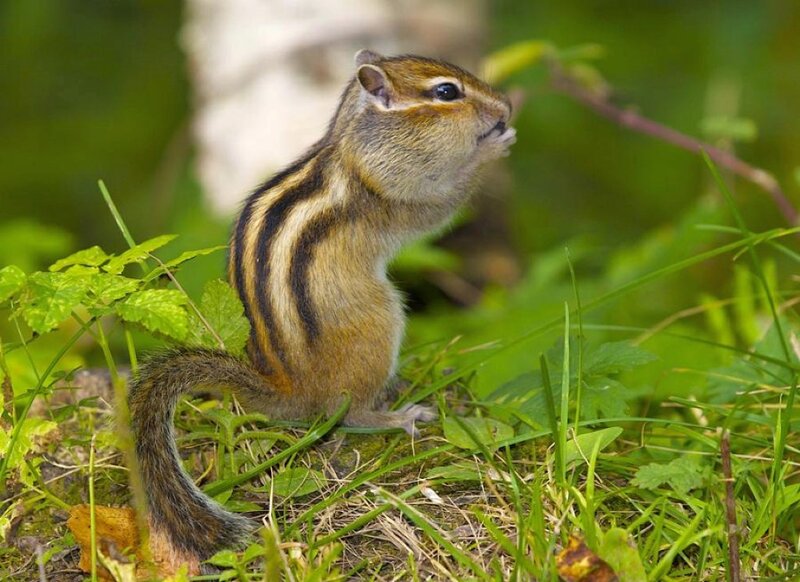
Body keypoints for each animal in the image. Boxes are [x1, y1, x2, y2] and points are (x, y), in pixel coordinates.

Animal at [128, 49, 515, 561]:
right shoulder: (397, 190)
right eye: (447, 92)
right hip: (378, 320)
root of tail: (288, 388)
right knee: (349, 413)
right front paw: (494, 147)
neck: (354, 146)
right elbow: (442, 206)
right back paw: (399, 415)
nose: (505, 107)